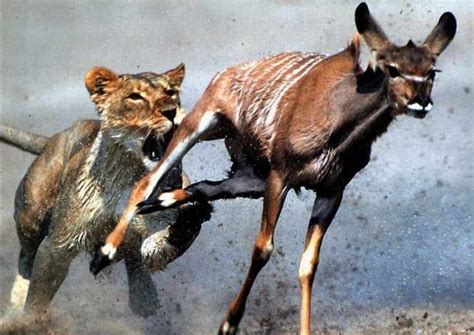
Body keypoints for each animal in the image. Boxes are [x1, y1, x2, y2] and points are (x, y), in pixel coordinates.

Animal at [91, 3, 456, 335]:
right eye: (392, 69)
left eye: (432, 71)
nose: (420, 102)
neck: (338, 121)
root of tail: (230, 71)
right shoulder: (280, 177)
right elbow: (262, 248)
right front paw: (228, 324)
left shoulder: (330, 189)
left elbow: (308, 264)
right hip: (202, 125)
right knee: (148, 180)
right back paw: (104, 253)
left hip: (249, 178)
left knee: (204, 186)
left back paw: (158, 205)